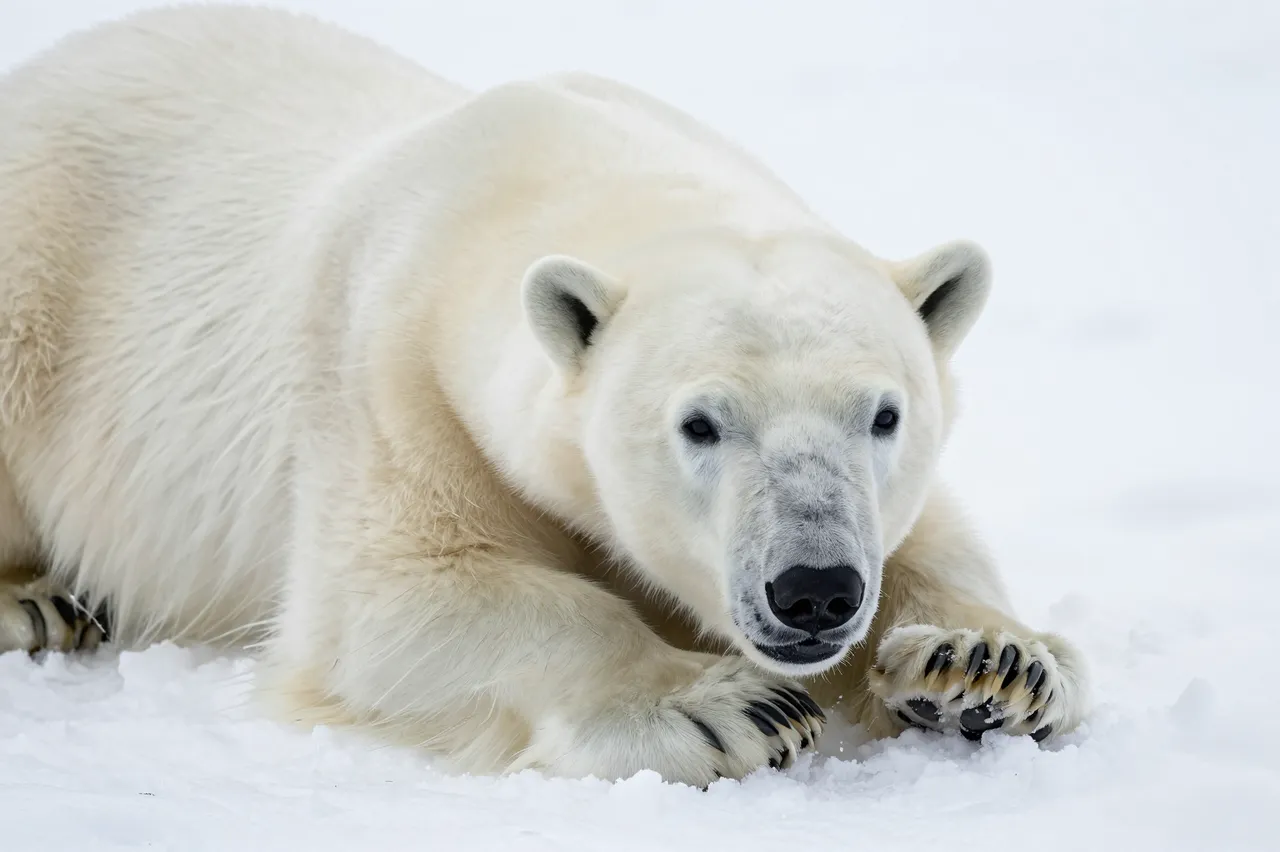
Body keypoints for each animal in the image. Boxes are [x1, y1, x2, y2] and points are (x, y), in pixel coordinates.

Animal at [0, 5, 1089, 785]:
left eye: (883, 415)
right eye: (699, 424)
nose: (814, 587)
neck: (514, 181)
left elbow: (933, 538)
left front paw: (983, 665)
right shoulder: (388, 378)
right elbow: (395, 603)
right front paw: (731, 706)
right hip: (36, 276)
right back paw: (40, 603)